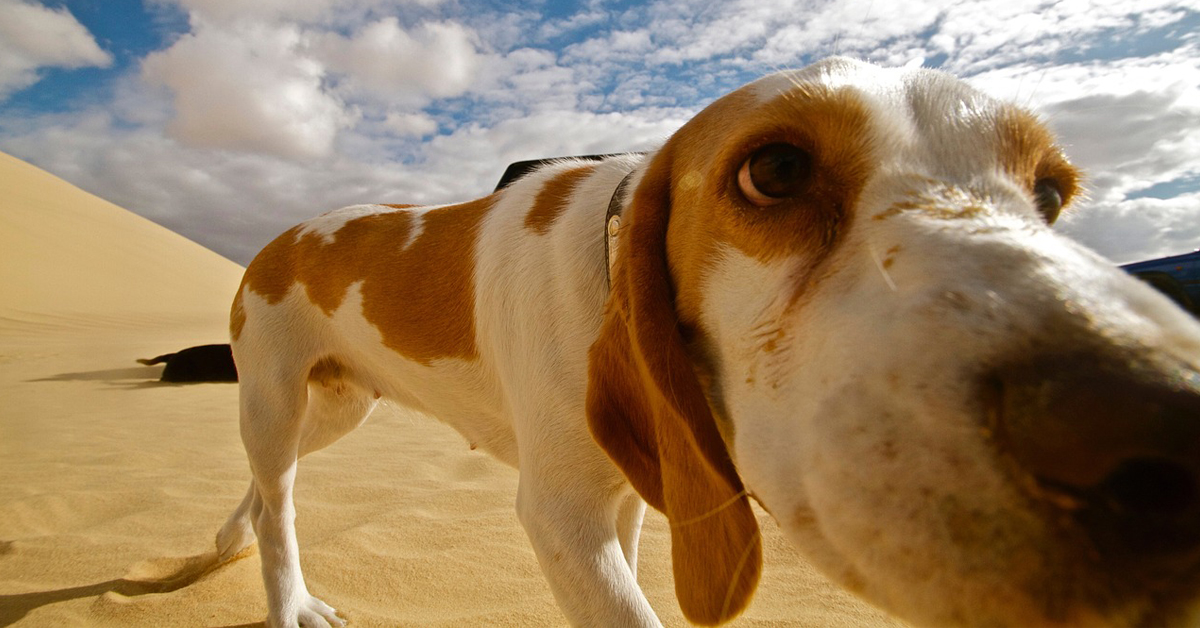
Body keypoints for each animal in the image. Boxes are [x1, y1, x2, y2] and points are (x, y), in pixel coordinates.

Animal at [211, 56, 1200, 624]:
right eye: (776, 170)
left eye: (1050, 194)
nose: (1163, 425)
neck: (606, 258)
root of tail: (281, 236)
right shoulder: (563, 516)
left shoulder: (625, 496)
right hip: (274, 397)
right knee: (280, 504)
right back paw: (288, 602)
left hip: (336, 408)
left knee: (265, 490)